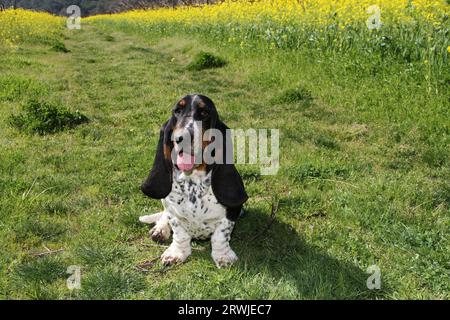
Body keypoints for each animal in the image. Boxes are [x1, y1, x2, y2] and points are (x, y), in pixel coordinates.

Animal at [139, 94, 248, 268]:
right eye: (177, 111)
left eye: (204, 113)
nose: (181, 138)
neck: (193, 182)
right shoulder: (174, 214)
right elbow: (179, 233)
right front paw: (176, 253)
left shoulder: (230, 213)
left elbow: (220, 236)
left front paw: (223, 256)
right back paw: (160, 230)